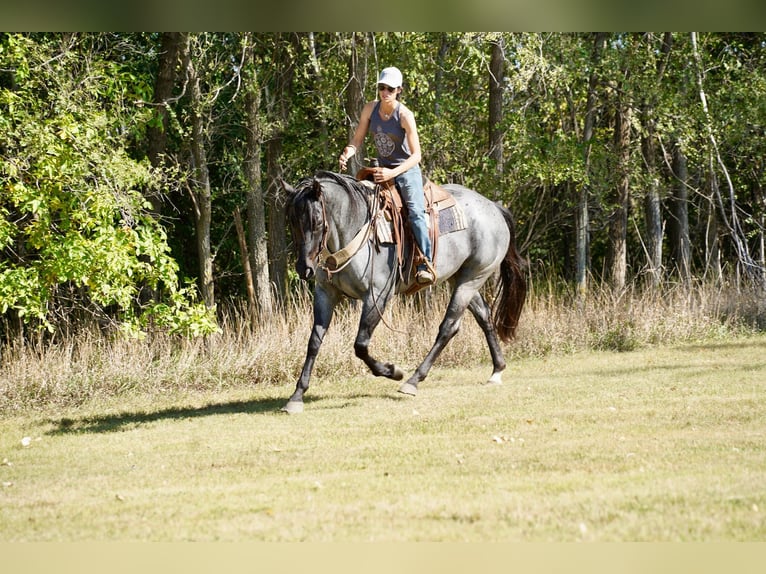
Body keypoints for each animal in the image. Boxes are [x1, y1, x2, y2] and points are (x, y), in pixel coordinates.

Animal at [281, 170, 526, 414]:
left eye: (317, 220)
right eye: (292, 221)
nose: (304, 268)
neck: (353, 230)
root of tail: (494, 207)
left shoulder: (377, 296)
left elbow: (360, 345)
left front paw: (393, 371)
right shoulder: (326, 294)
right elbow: (314, 342)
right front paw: (297, 396)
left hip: (473, 278)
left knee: (448, 327)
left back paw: (413, 381)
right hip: (460, 277)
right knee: (482, 316)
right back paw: (497, 370)